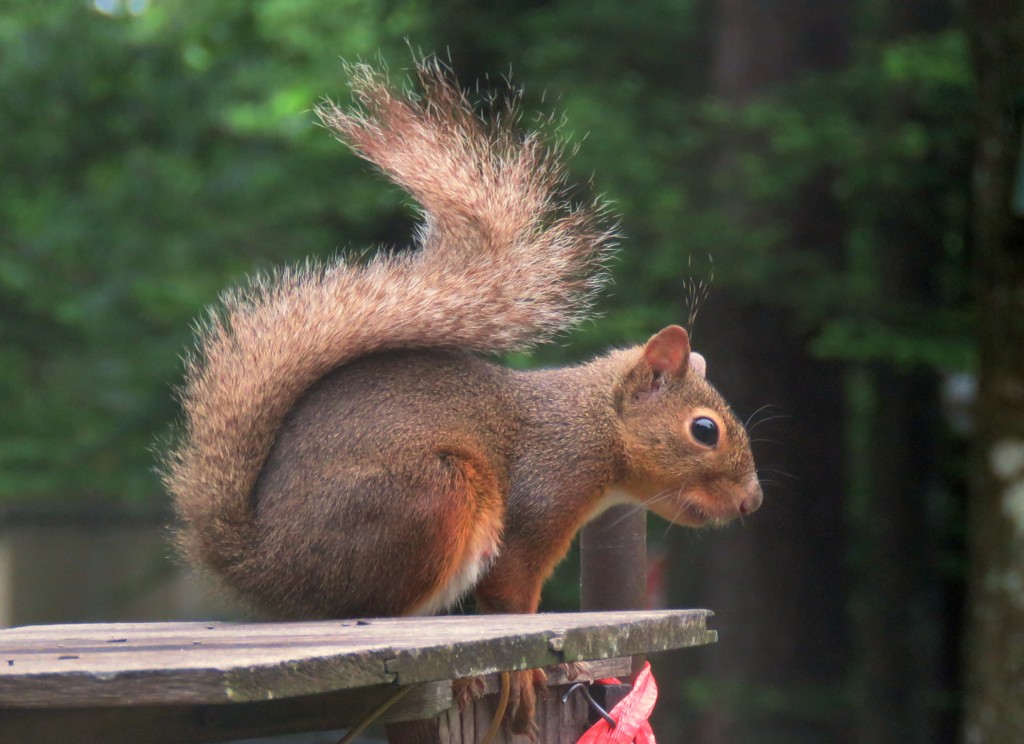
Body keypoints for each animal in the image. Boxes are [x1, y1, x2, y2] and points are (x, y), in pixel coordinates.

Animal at [163, 61, 765, 736]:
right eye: (704, 430)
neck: (591, 425)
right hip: (436, 493)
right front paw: (528, 672)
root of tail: (261, 563)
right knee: (383, 610)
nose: (752, 501)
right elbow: (510, 602)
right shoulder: (538, 499)